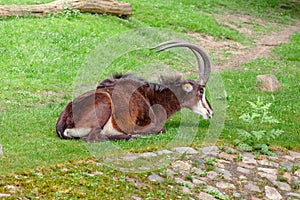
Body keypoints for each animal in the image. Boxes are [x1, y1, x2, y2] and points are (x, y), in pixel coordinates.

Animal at [55, 39, 212, 141]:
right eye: (201, 91)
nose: (210, 112)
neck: (150, 96)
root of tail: (63, 125)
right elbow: (161, 129)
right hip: (105, 103)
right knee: (93, 138)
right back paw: (132, 136)